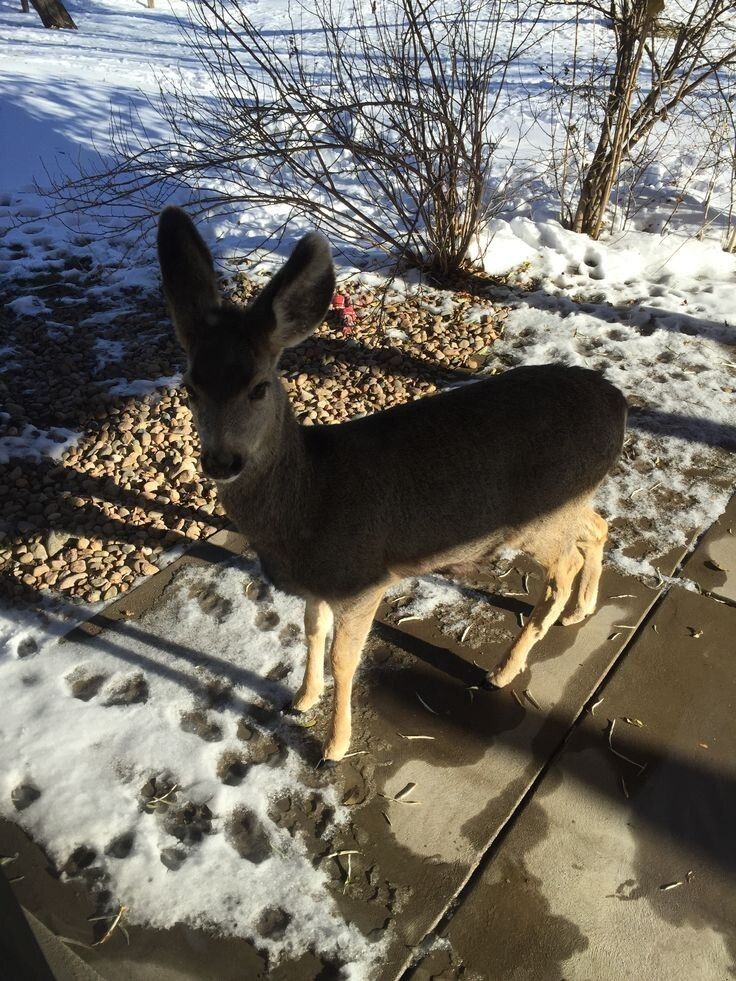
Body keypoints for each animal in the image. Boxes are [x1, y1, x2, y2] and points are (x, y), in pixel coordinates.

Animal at [157, 207, 627, 763]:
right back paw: (582, 611)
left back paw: (503, 670)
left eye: (259, 386)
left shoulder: (364, 579)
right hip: (573, 502)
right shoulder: (319, 587)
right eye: (190, 387)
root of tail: (619, 404)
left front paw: (334, 745)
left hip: (543, 515)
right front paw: (301, 698)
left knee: (564, 567)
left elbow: (343, 659)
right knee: (597, 527)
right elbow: (311, 633)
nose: (221, 461)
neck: (311, 500)